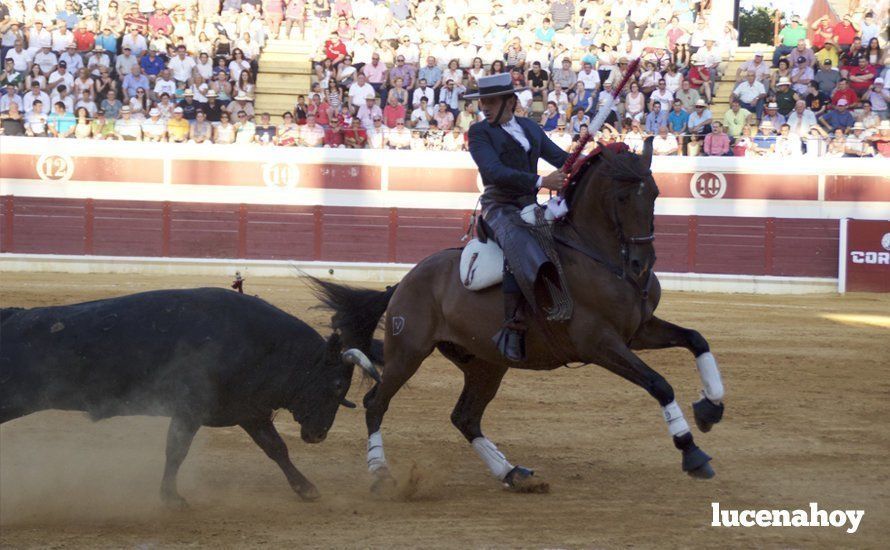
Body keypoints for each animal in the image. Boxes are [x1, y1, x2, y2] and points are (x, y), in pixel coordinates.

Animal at [0, 288, 376, 508]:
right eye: (336, 385)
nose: (318, 435)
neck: (262, 344)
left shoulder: (248, 410)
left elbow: (276, 448)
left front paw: (306, 488)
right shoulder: (190, 410)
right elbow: (176, 451)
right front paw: (172, 499)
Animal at [310, 139, 720, 496]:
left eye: (655, 193)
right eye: (621, 197)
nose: (641, 265)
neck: (597, 254)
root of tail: (403, 283)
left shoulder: (637, 331)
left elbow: (697, 339)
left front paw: (710, 408)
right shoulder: (600, 343)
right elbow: (659, 384)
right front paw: (693, 453)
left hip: (485, 363)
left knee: (465, 417)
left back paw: (512, 473)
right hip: (408, 353)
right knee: (376, 403)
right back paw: (380, 473)